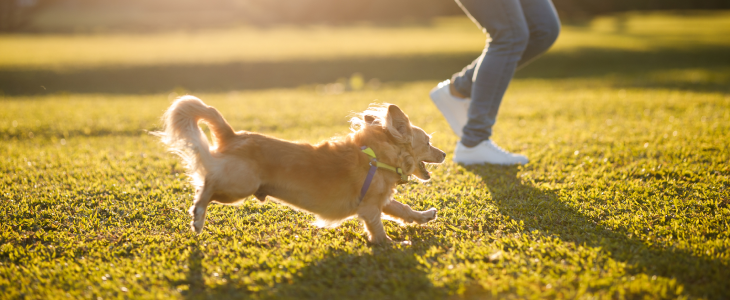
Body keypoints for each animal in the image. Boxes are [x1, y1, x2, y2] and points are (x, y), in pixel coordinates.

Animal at [154, 96, 444, 244]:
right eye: (429, 142)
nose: (442, 154)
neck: (379, 156)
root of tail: (233, 135)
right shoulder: (370, 207)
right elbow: (378, 230)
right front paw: (391, 245)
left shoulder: (380, 199)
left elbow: (403, 209)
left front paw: (424, 216)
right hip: (238, 187)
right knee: (206, 185)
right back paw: (198, 216)